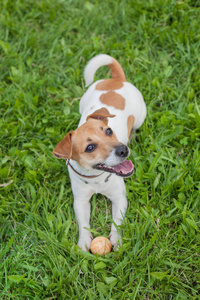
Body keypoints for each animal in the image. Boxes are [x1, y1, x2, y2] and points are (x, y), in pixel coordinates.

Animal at [52, 54, 147, 251]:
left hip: (140, 117)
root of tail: (116, 79)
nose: (123, 149)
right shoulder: (80, 201)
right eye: (90, 148)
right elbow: (83, 223)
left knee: (135, 125)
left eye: (109, 131)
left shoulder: (119, 198)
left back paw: (133, 135)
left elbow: (117, 222)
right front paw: (83, 242)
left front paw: (117, 239)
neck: (96, 177)